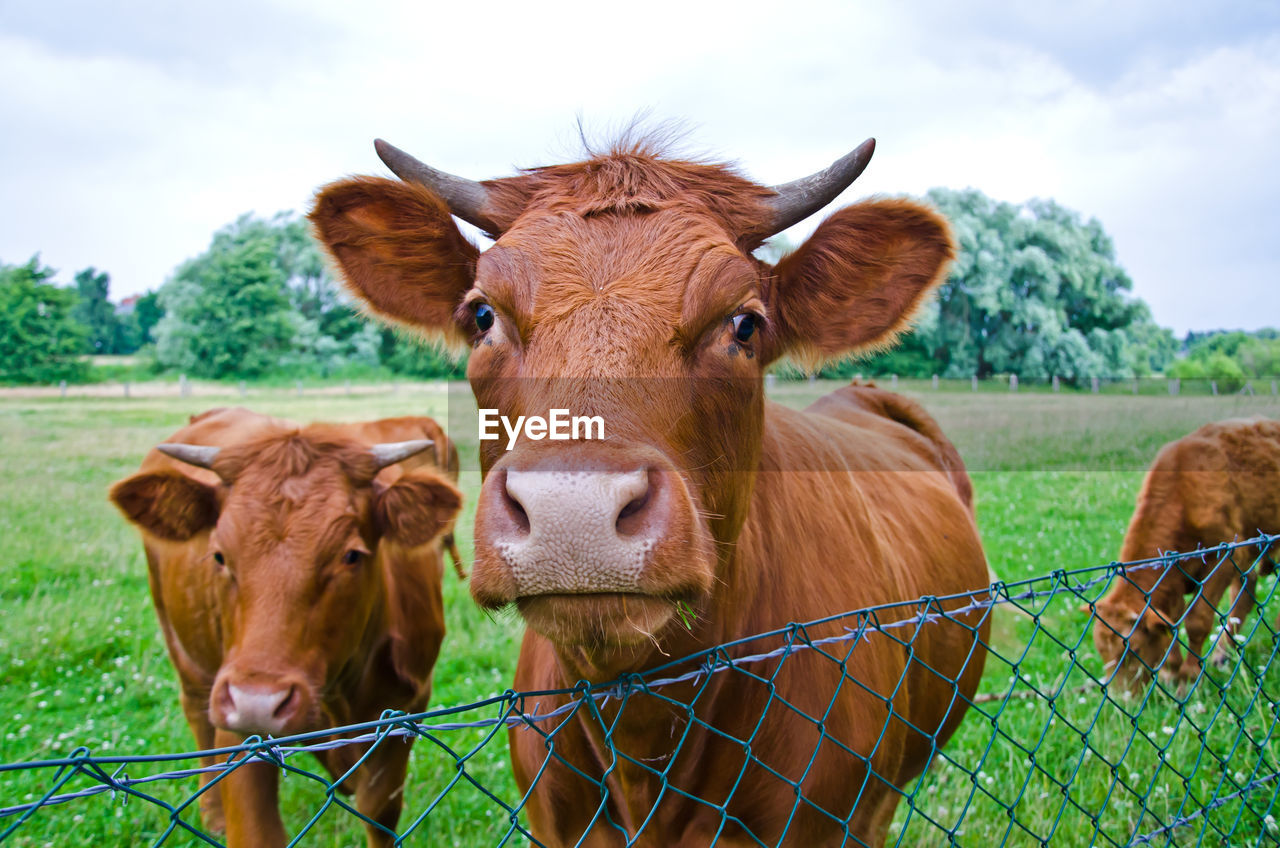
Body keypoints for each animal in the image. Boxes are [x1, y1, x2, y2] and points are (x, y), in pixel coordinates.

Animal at [107, 409, 463, 845]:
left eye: (351, 555)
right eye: (219, 555)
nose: (257, 701)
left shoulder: (404, 709)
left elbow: (379, 809)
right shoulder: (239, 728)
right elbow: (255, 828)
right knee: (195, 708)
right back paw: (213, 815)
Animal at [1090, 417, 1280, 691]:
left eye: (1134, 650)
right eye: (1102, 652)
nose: (1122, 697)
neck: (1183, 495)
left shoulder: (1223, 562)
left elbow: (1197, 621)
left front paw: (1189, 676)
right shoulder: (1175, 578)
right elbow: (1171, 623)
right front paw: (1171, 672)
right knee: (1244, 593)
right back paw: (1222, 654)